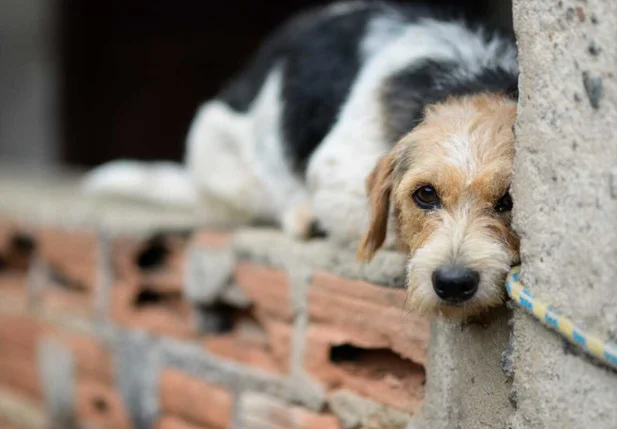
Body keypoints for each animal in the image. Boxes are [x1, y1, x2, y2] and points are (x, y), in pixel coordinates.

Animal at [85, 0, 520, 318]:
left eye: (509, 201)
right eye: (425, 195)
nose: (453, 283)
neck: (471, 77)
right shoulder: (336, 177)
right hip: (219, 152)